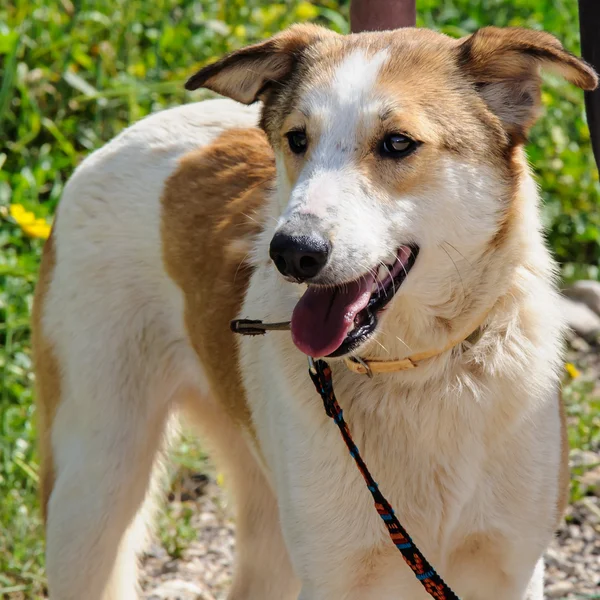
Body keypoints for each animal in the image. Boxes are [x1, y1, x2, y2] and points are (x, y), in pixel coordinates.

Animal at [35, 23, 596, 600]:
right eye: (297, 139)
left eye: (398, 143)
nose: (291, 252)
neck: (420, 374)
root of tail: (128, 132)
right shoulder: (334, 576)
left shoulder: (510, 568)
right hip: (93, 488)